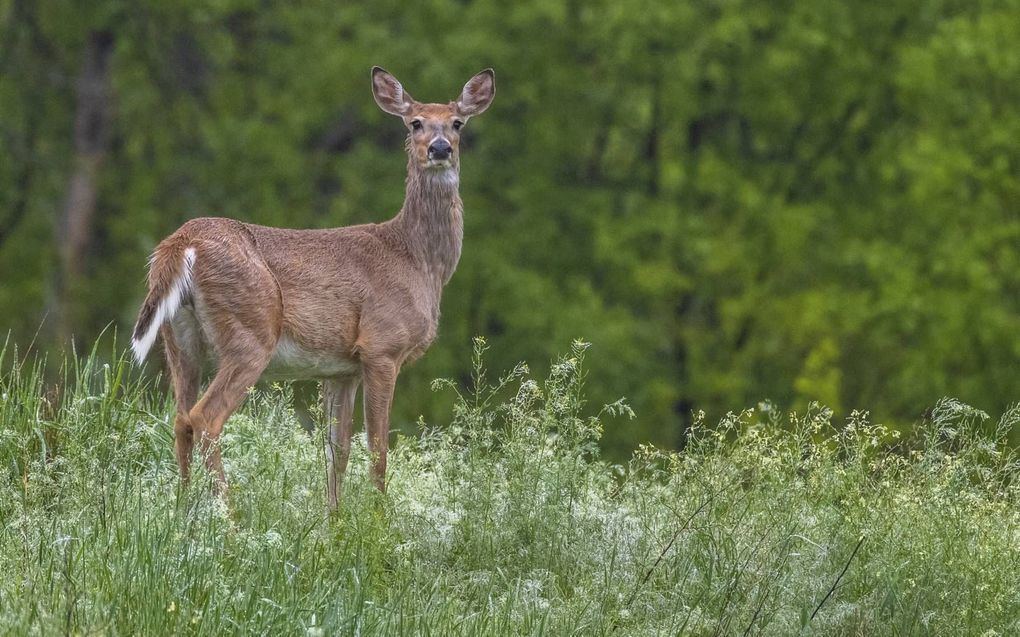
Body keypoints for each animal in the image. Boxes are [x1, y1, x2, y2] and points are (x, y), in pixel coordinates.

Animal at [129, 67, 495, 509]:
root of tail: (182, 243)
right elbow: (378, 447)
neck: (417, 260)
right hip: (250, 330)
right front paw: (378, 516)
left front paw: (333, 517)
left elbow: (337, 449)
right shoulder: (382, 346)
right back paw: (228, 515)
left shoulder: (341, 368)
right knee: (205, 417)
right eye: (415, 123)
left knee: (180, 419)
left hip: (181, 342)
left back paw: (184, 511)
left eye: (457, 123)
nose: (439, 149)